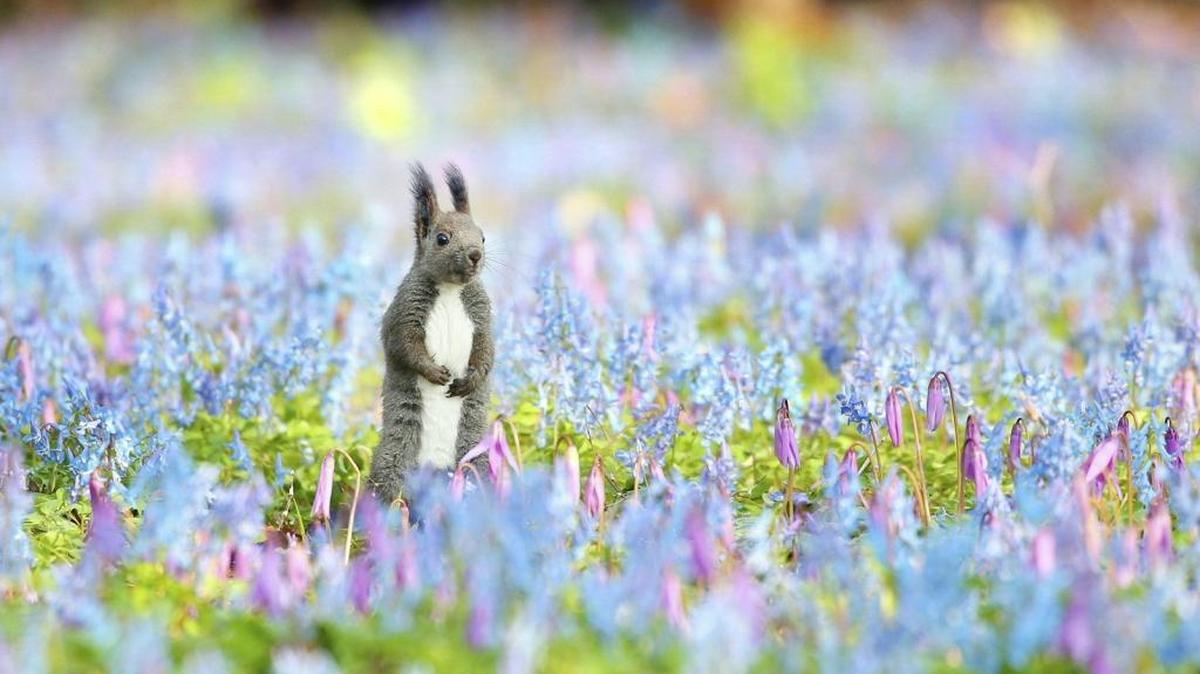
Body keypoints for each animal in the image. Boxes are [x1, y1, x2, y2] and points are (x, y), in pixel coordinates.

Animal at [368, 163, 493, 506]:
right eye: (442, 238)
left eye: (483, 236)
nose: (475, 254)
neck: (450, 290)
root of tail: (435, 471)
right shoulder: (405, 311)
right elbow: (404, 345)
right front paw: (434, 372)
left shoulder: (482, 314)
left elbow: (487, 349)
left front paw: (471, 379)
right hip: (396, 456)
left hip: (477, 458)